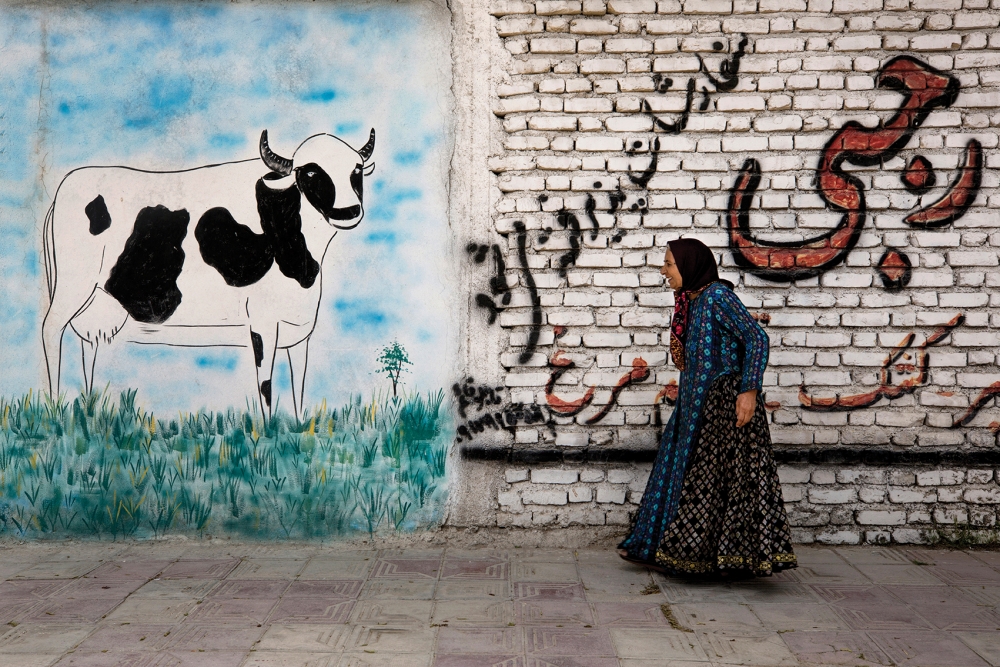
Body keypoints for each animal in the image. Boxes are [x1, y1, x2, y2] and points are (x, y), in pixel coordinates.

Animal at [39, 128, 376, 414]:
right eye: (310, 171)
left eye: (356, 170)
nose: (347, 212)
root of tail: (63, 189)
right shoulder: (263, 322)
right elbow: (266, 387)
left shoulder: (298, 327)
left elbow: (299, 386)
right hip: (72, 287)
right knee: (50, 330)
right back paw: (55, 409)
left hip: (94, 305)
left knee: (88, 344)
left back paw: (88, 410)